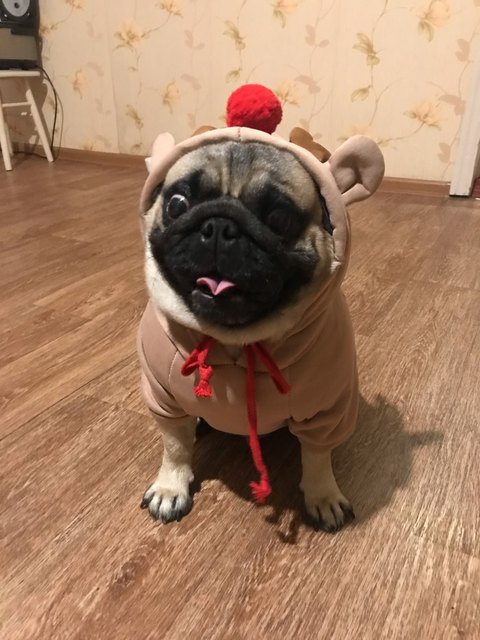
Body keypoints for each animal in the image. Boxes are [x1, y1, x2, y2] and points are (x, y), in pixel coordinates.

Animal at [137, 121, 384, 532]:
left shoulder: (326, 413)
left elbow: (317, 456)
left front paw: (323, 495)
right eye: (177, 204)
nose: (219, 225)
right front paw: (171, 487)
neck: (236, 343)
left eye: (279, 219)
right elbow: (174, 447)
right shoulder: (164, 402)